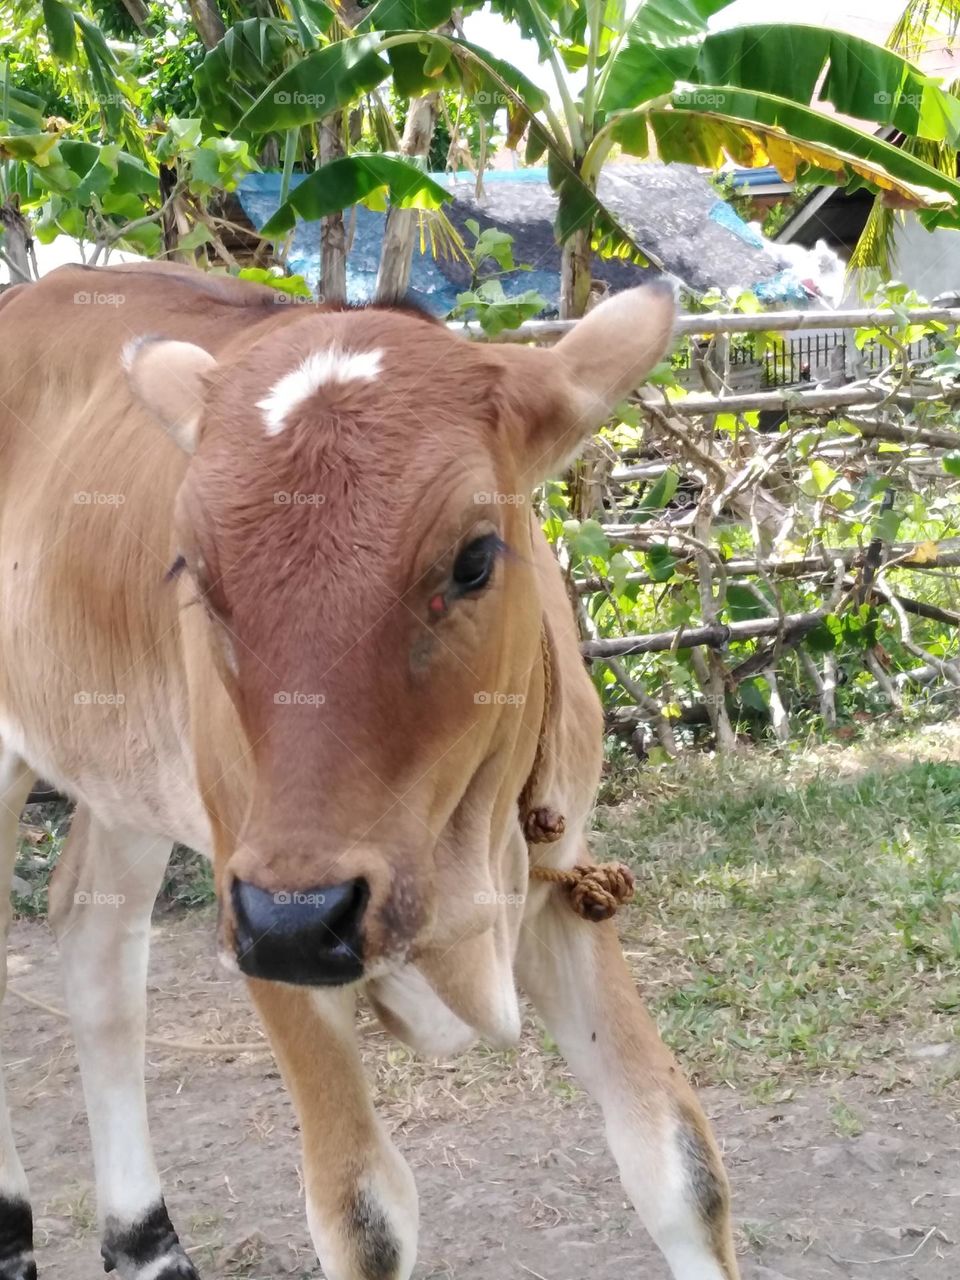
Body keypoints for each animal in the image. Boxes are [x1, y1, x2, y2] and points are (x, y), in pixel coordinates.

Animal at [0, 262, 739, 1280]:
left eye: (474, 559)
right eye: (196, 572)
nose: (299, 919)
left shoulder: (561, 878)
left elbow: (678, 1157)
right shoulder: (259, 903)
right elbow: (362, 1214)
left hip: (127, 787)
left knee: (95, 944)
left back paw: (144, 1240)